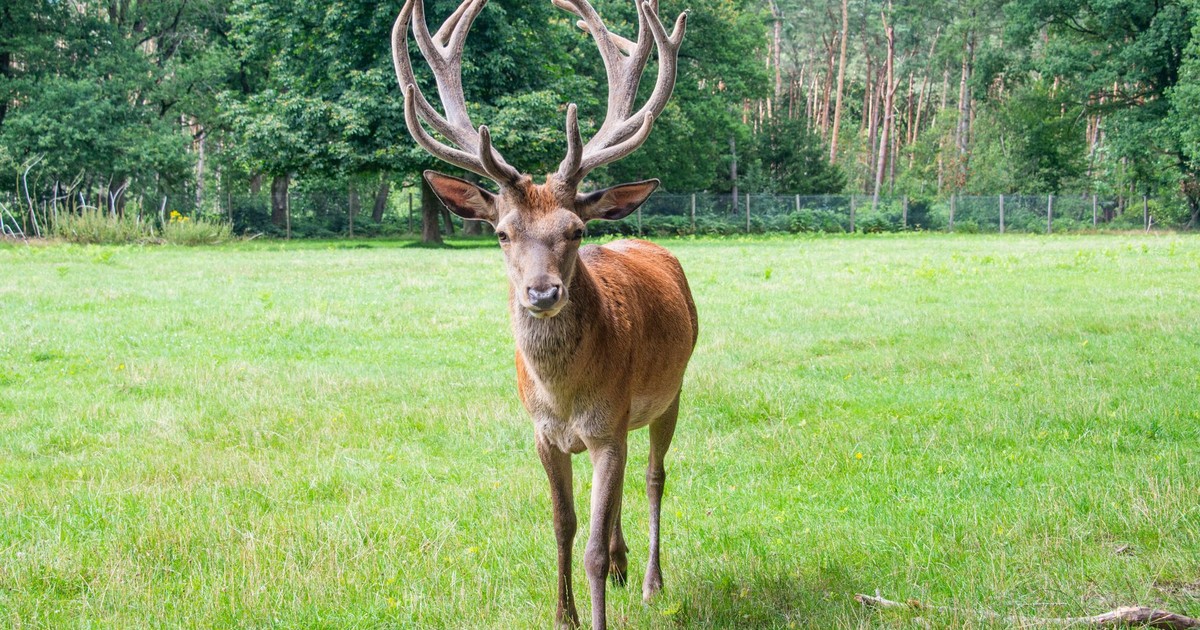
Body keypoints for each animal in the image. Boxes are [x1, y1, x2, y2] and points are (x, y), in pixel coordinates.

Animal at [392, 0, 693, 627]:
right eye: (502, 233)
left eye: (575, 230)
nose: (542, 292)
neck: (564, 394)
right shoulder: (544, 433)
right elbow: (564, 526)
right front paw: (564, 615)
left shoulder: (606, 427)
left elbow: (592, 546)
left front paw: (599, 610)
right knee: (623, 490)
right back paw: (628, 565)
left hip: (670, 393)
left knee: (654, 477)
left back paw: (650, 582)